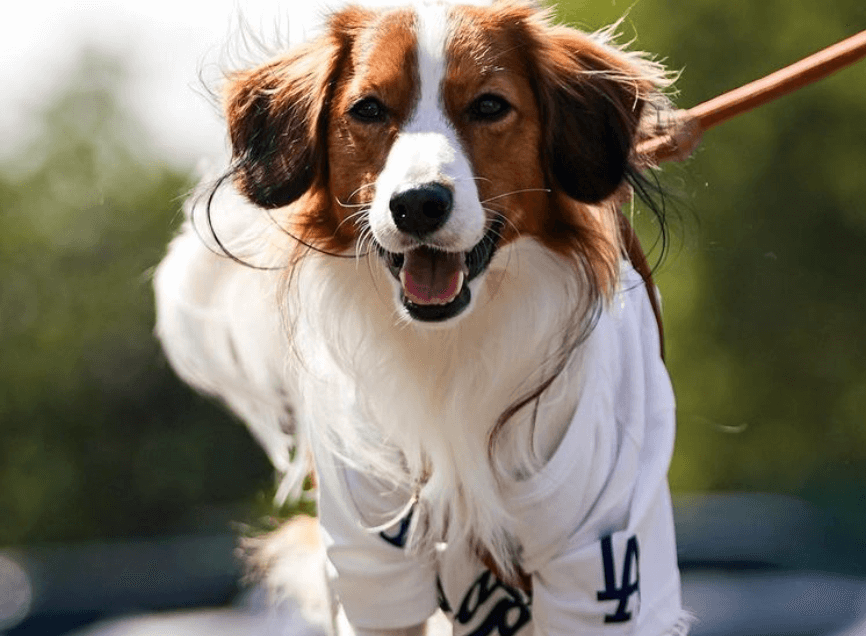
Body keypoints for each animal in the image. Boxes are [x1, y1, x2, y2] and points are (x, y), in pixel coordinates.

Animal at [155, 2, 692, 632]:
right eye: (368, 109)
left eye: (489, 106)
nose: (417, 205)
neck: (448, 348)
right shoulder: (370, 557)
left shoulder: (604, 560)